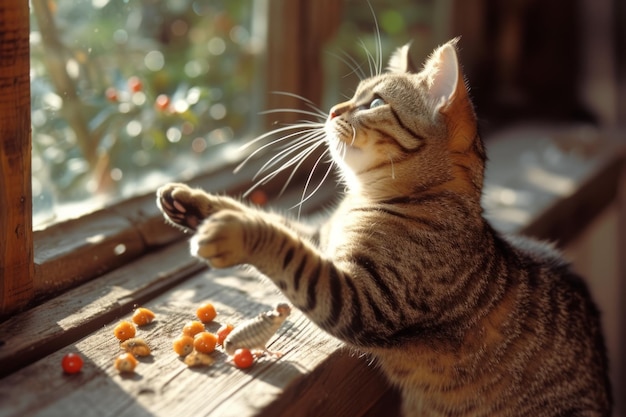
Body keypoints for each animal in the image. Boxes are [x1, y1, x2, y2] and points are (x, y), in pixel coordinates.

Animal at [156, 39, 608, 416]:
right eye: (355, 95)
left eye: (373, 101)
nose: (333, 110)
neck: (364, 200)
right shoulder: (323, 238)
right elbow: (273, 220)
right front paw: (192, 202)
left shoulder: (364, 299)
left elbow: (283, 245)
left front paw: (232, 232)